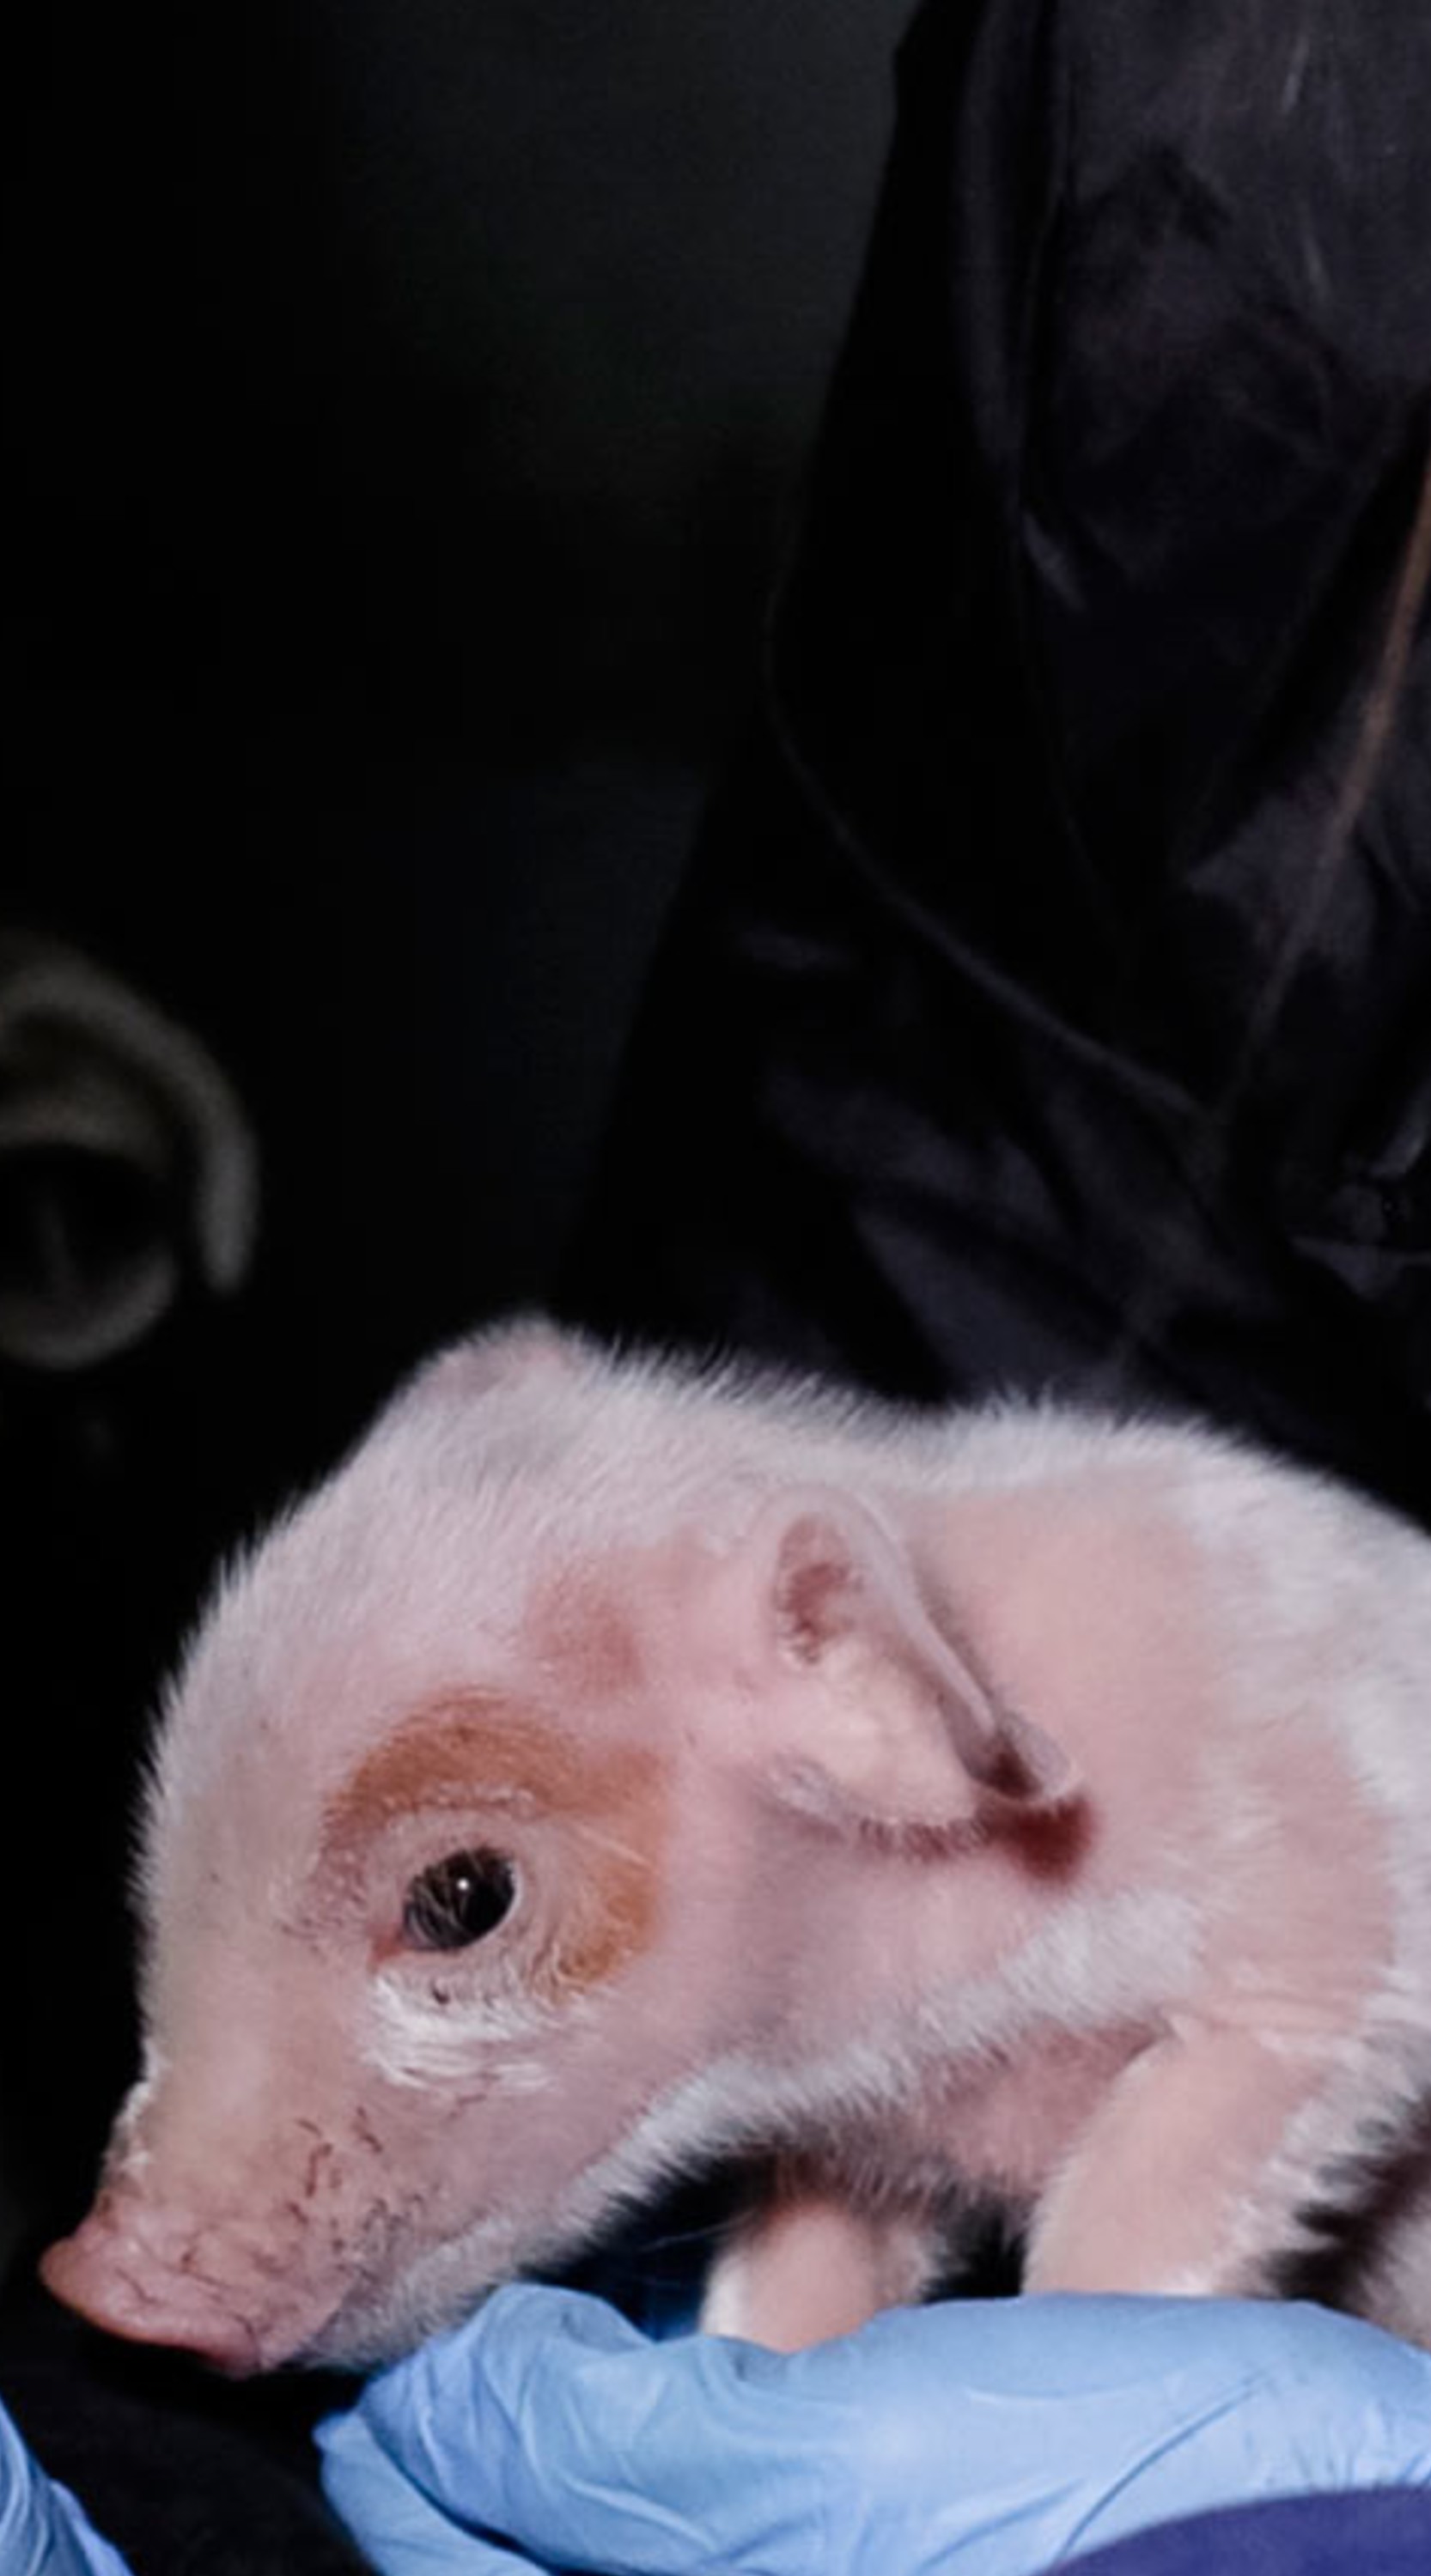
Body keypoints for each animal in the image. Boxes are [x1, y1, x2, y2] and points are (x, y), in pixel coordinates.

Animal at [41, 1316, 1431, 2370]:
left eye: (464, 1895)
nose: (93, 2288)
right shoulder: (861, 2147)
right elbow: (796, 2289)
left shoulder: (1333, 1941)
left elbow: (1148, 2206)